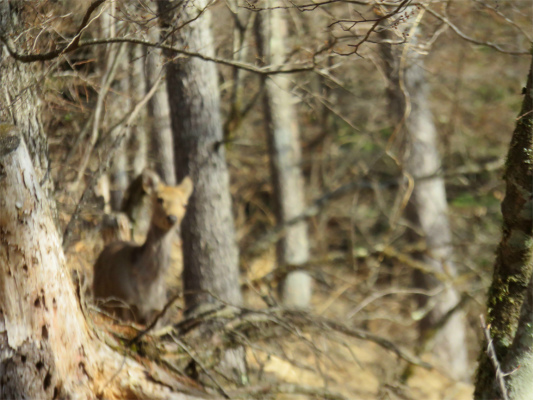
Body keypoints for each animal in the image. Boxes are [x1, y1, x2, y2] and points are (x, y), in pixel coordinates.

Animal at [93, 173, 193, 324]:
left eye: (185, 204)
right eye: (160, 199)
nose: (172, 217)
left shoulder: (157, 312)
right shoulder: (124, 303)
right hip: (101, 299)